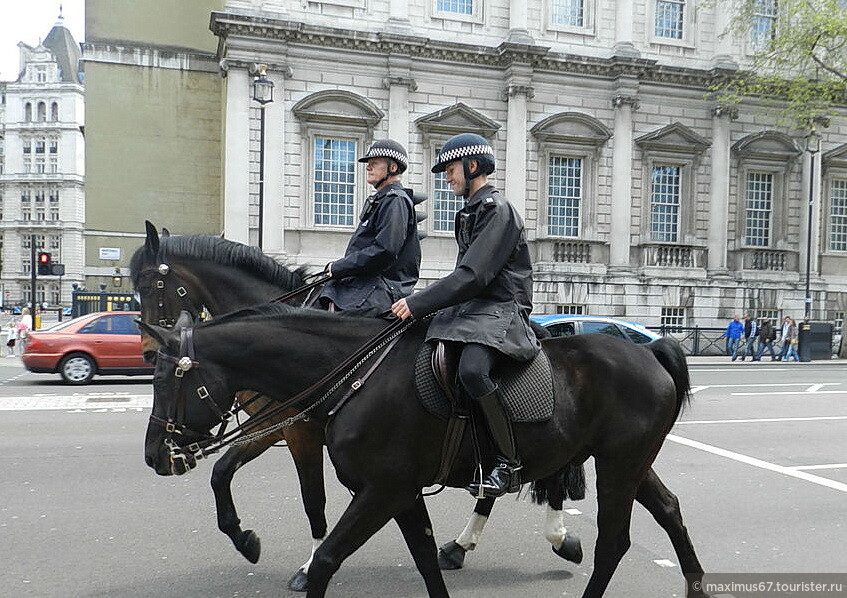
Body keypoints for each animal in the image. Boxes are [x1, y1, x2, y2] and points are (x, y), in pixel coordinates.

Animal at [131, 224, 584, 584]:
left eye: (151, 285)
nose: (148, 352)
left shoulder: (298, 431)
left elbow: (312, 497)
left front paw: (308, 562)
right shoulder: (273, 425)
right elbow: (222, 472)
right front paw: (245, 539)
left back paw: (557, 537)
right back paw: (462, 545)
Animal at [142, 308, 704, 596]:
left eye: (167, 379)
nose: (154, 456)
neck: (355, 376)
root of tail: (650, 349)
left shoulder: (381, 491)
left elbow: (326, 558)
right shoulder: (402, 494)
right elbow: (425, 563)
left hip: (618, 467)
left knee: (614, 541)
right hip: (632, 465)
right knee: (671, 511)